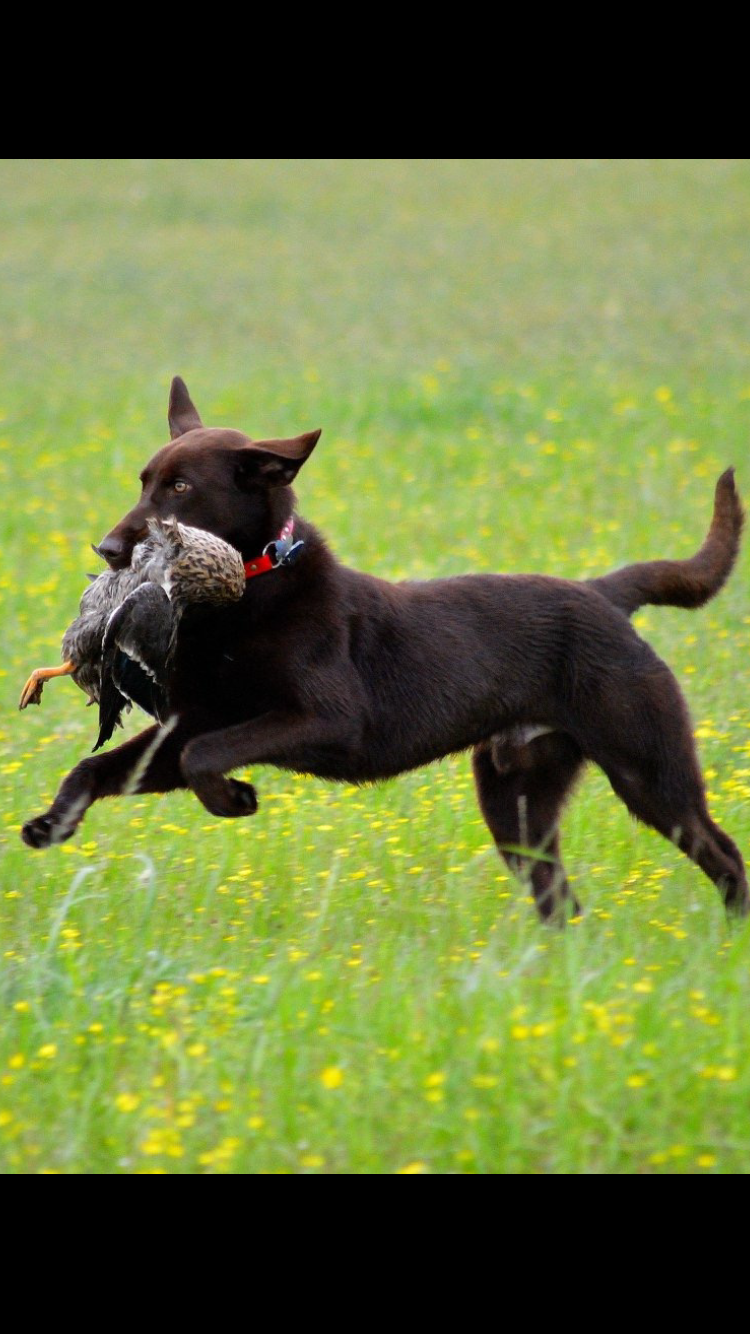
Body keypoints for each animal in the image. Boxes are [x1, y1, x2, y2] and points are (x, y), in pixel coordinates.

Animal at [20, 376, 741, 917]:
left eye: (180, 487)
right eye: (144, 481)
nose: (108, 550)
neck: (249, 593)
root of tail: (604, 593)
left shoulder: (329, 721)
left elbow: (206, 757)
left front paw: (234, 799)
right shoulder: (187, 724)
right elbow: (96, 768)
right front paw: (51, 824)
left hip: (648, 769)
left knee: (722, 851)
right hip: (517, 801)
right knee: (558, 896)